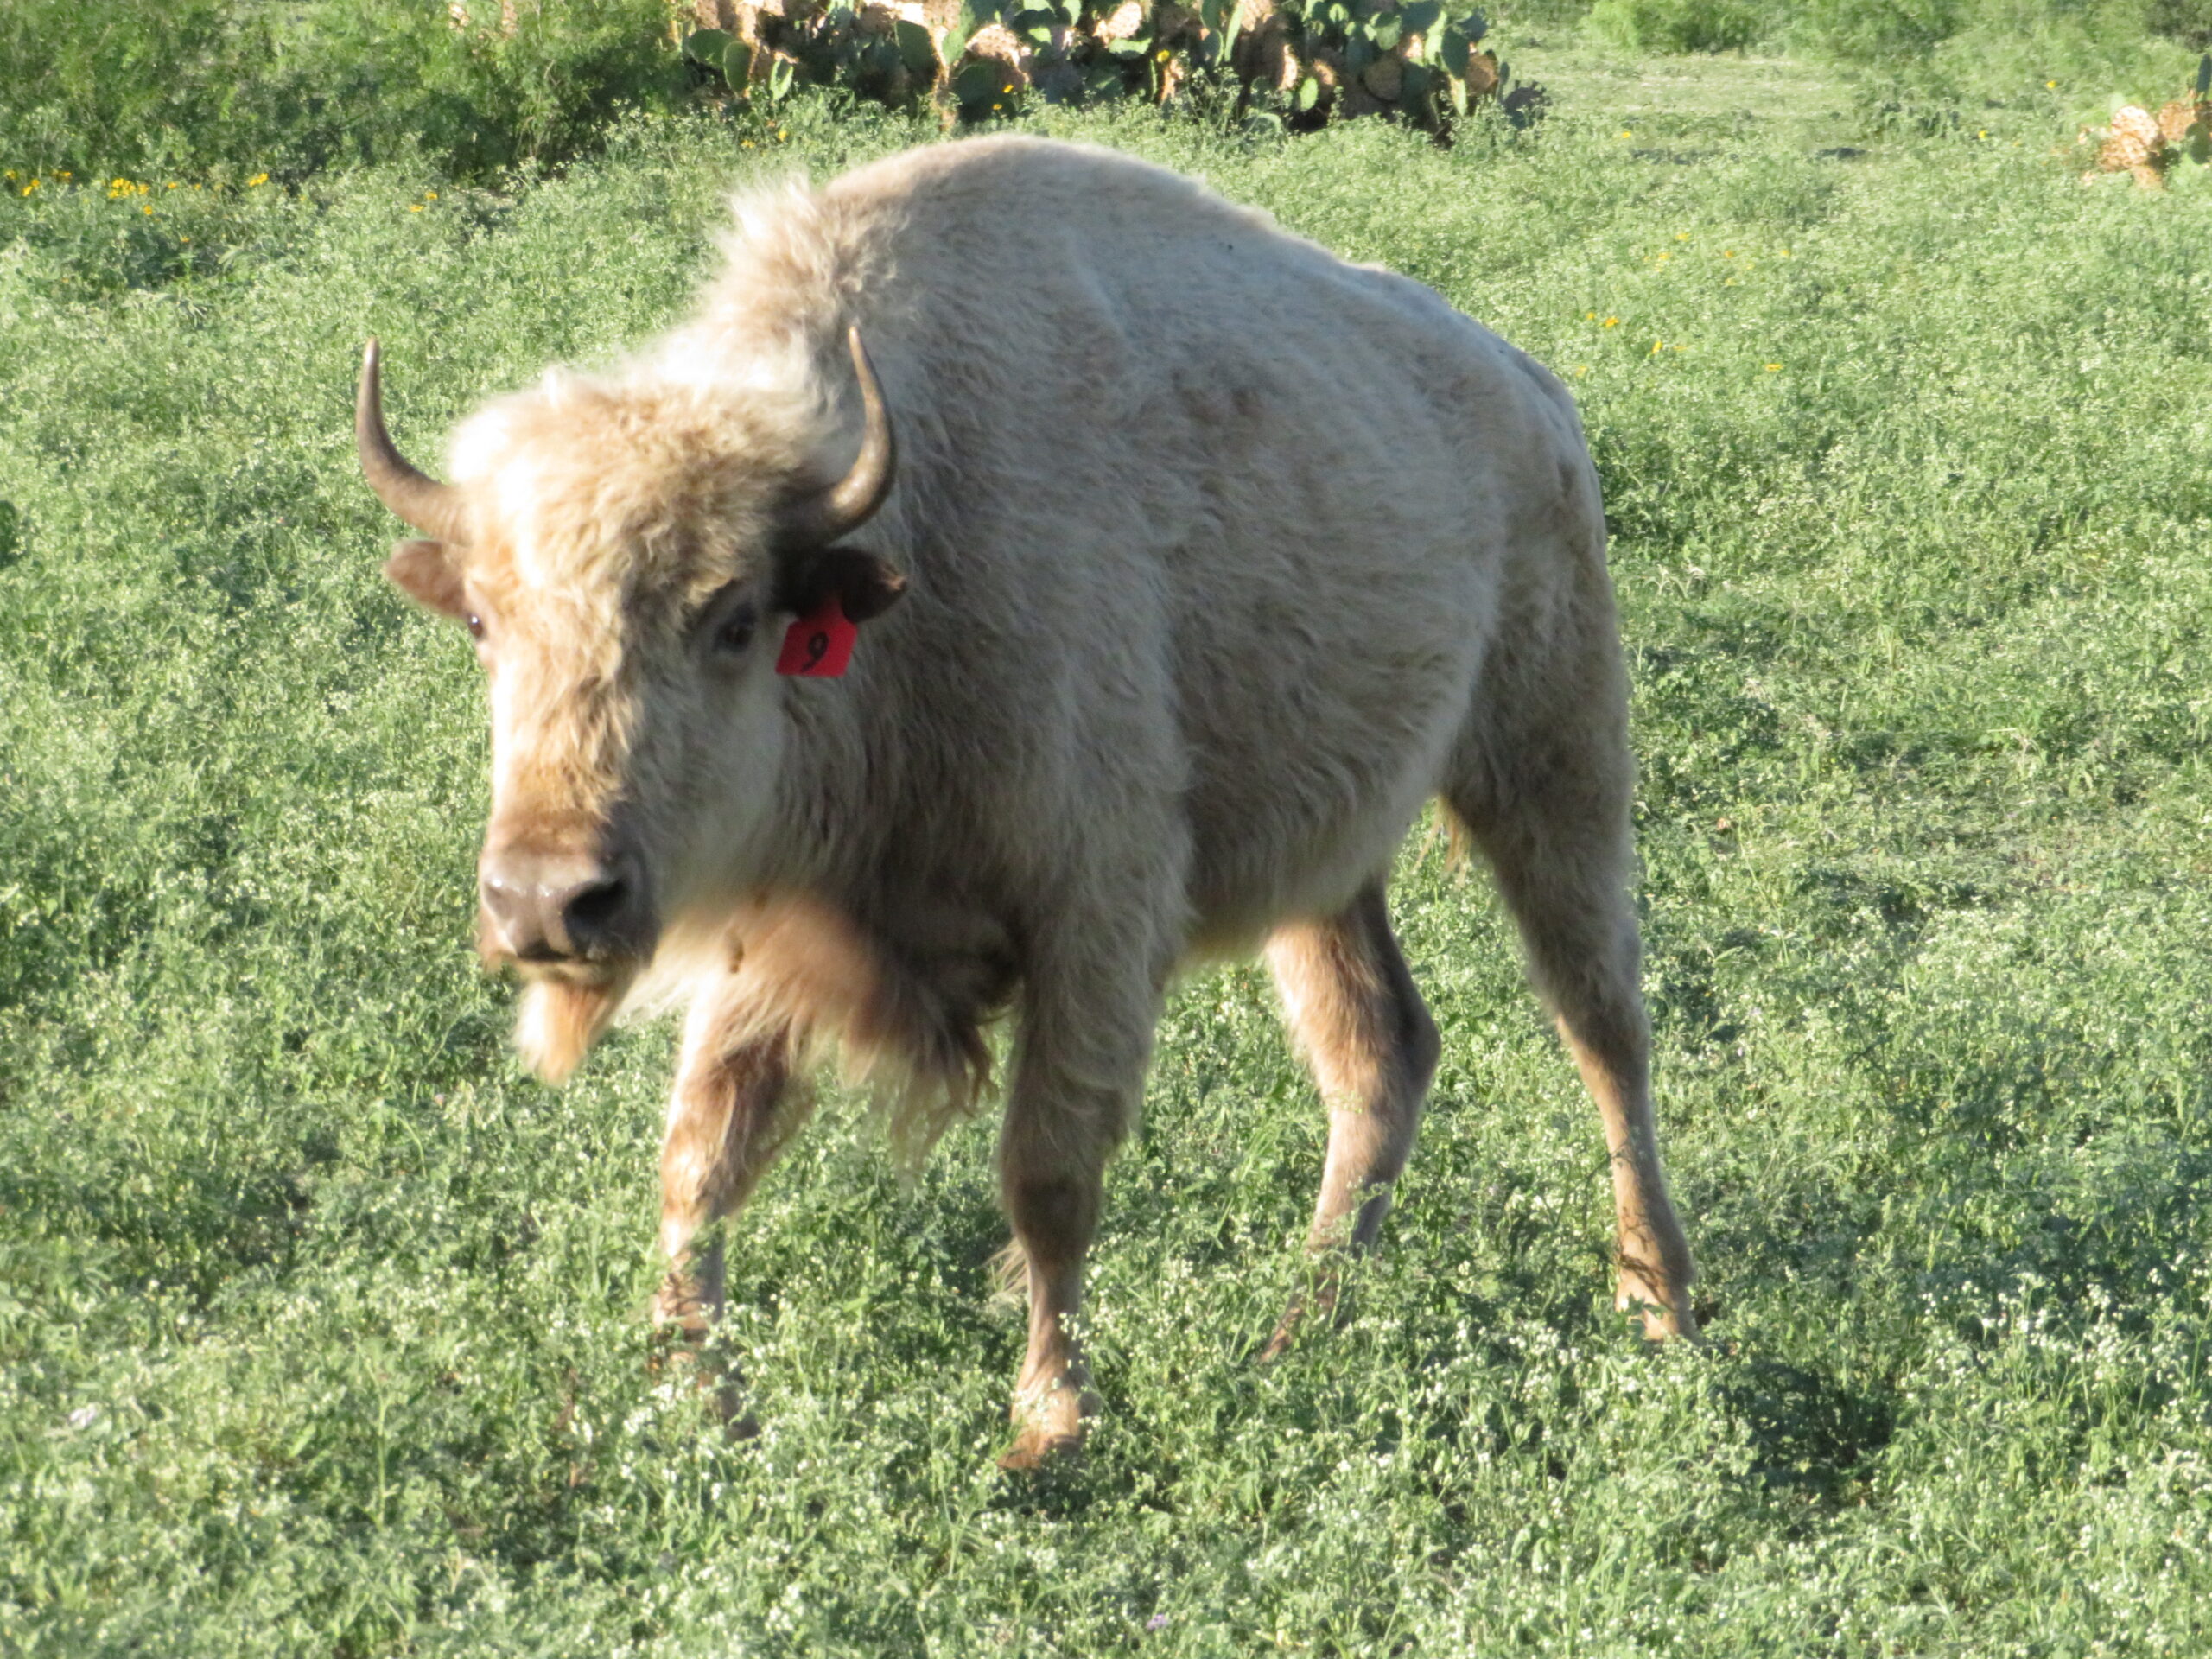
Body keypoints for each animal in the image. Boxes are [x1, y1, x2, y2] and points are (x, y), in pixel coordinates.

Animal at [358, 137, 1689, 1478]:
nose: (547, 902)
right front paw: (699, 1407)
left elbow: (1047, 1181)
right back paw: (1298, 1337)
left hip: (1550, 759)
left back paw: (1660, 1303)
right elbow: (699, 1160)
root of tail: (1533, 394)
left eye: (734, 619)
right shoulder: (772, 941)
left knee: (1601, 1020)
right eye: (483, 622)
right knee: (1381, 1055)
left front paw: (1046, 1426)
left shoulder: (1091, 920)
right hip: (1326, 860)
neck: (909, 559)